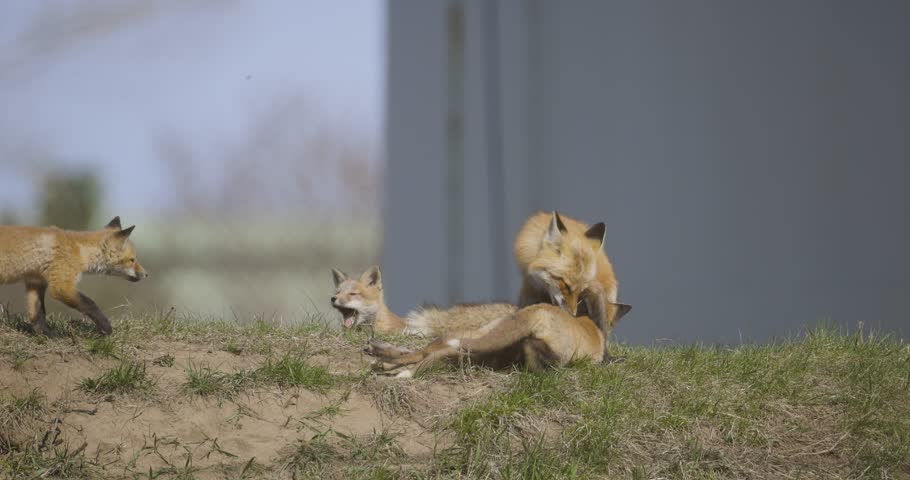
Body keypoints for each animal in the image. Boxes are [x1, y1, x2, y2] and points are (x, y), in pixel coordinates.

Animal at [0, 216, 148, 335]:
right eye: (132, 260)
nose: (147, 274)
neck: (81, 251)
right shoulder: (61, 287)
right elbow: (90, 303)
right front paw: (106, 327)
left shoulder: (36, 282)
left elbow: (38, 314)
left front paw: (45, 335)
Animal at [366, 285, 631, 377]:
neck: (590, 323)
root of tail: (533, 313)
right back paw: (403, 371)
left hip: (484, 341)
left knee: (443, 344)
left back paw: (386, 361)